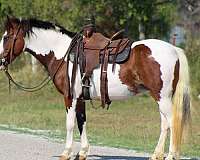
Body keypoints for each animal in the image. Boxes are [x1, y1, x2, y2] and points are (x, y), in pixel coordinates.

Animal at [0, 16, 191, 159]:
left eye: (6, 38)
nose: (0, 61)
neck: (64, 54)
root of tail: (174, 49)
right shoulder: (80, 98)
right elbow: (81, 122)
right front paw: (83, 152)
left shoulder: (70, 97)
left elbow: (70, 123)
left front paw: (66, 152)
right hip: (160, 98)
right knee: (165, 124)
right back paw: (156, 154)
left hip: (162, 97)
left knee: (172, 122)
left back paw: (170, 155)